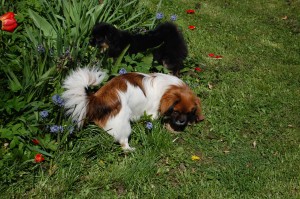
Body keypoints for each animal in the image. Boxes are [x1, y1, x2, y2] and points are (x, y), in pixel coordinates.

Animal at [62, 67, 205, 151]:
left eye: (189, 112)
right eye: (175, 111)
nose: (182, 121)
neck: (168, 87)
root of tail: (96, 100)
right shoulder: (152, 113)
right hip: (123, 124)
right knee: (123, 144)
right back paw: (131, 150)